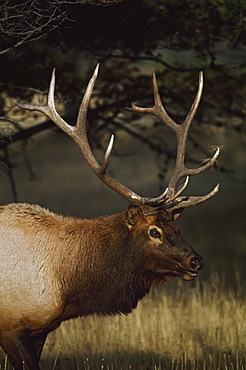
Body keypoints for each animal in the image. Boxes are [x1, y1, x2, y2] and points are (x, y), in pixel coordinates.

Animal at [0, 65, 219, 368]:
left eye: (178, 228)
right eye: (154, 231)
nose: (196, 261)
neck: (64, 287)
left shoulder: (41, 329)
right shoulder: (11, 326)